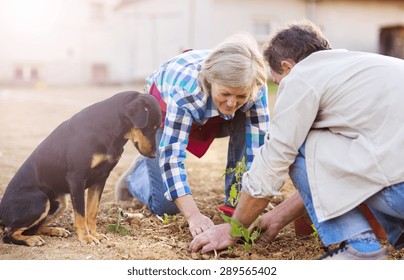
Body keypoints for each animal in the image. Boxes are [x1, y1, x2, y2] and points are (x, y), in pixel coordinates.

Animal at [0, 91, 161, 245]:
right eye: (150, 127)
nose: (154, 155)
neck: (108, 128)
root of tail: (1, 210)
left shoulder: (100, 178)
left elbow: (92, 211)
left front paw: (95, 234)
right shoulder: (77, 179)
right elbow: (81, 214)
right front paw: (86, 238)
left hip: (61, 203)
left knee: (32, 229)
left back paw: (55, 231)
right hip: (40, 200)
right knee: (8, 234)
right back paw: (31, 240)